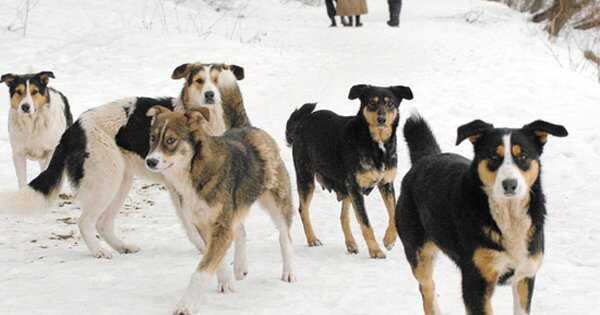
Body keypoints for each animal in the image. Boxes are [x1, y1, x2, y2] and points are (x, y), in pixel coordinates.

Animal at [145, 107, 296, 315]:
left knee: (284, 236)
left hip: (277, 201)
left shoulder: (221, 225)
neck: (193, 171)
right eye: (152, 138)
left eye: (170, 140)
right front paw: (226, 281)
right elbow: (218, 258)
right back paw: (240, 266)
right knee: (240, 230)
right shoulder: (204, 224)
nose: (150, 161)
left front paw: (185, 305)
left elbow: (201, 271)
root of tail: (247, 127)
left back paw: (289, 272)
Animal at [286, 84, 412, 260]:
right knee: (303, 210)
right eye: (371, 103)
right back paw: (312, 239)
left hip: (345, 188)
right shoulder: (356, 188)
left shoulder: (386, 183)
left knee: (343, 217)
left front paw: (389, 239)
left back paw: (351, 244)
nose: (381, 119)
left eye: (390, 103)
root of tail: (301, 124)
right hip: (306, 178)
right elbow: (365, 223)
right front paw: (375, 250)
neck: (375, 143)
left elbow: (393, 213)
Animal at [396, 114, 568, 315]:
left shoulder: (525, 274)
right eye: (494, 156)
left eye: (523, 156)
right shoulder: (476, 281)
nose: (510, 184)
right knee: (427, 289)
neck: (508, 217)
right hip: (419, 254)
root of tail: (426, 158)